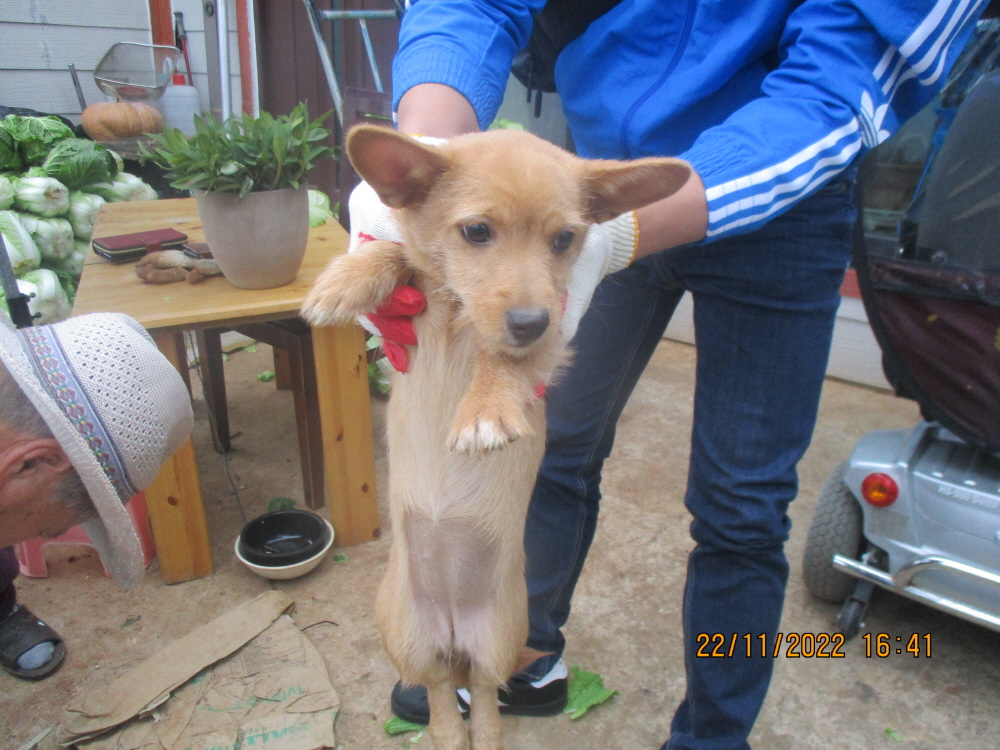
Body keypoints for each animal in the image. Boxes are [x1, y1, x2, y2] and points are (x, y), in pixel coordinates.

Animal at [302, 125, 689, 750]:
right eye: (477, 232)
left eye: (565, 239)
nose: (530, 321)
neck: (457, 315)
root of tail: (454, 628)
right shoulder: (429, 287)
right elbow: (399, 254)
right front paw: (346, 281)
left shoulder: (555, 334)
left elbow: (506, 358)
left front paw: (484, 407)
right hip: (405, 634)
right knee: (440, 699)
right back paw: (447, 730)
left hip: (499, 640)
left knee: (483, 704)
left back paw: (479, 732)